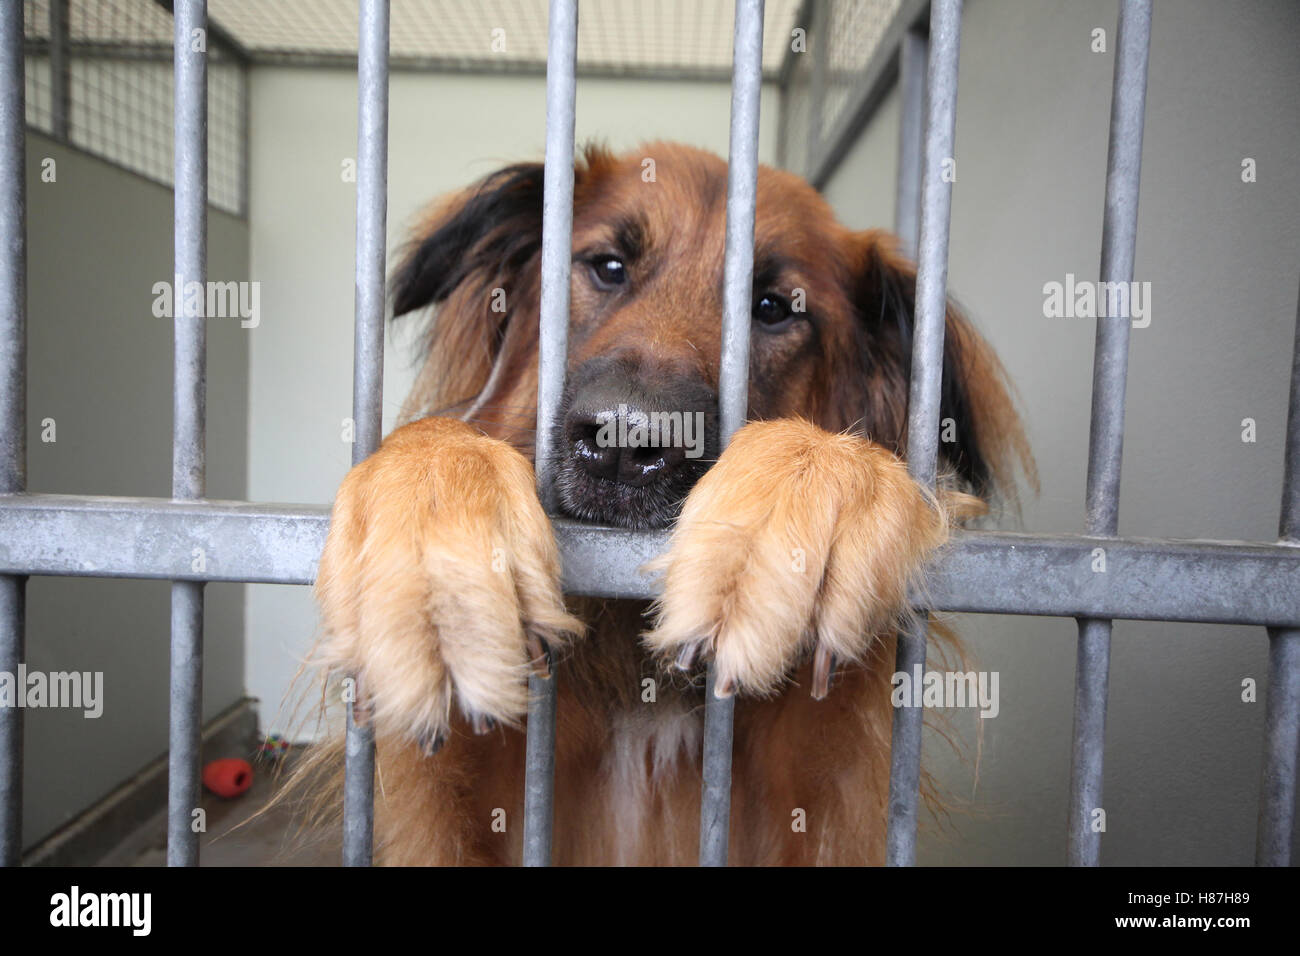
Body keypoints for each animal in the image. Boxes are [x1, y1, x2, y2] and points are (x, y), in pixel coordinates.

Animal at [301, 141, 1024, 868]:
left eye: (773, 308)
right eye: (608, 267)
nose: (626, 442)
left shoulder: (822, 794)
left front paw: (812, 486)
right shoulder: (465, 804)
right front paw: (436, 563)